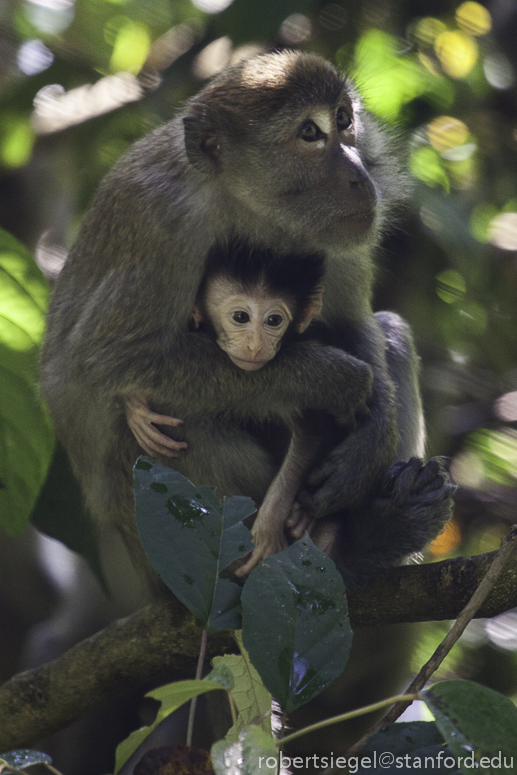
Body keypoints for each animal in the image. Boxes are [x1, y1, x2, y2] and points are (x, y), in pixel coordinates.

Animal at [40, 50, 454, 594]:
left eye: (344, 120)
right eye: (309, 133)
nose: (359, 175)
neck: (245, 206)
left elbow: (355, 323)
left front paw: (369, 445)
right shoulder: (165, 225)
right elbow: (105, 362)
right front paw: (330, 379)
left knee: (392, 333)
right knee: (159, 423)